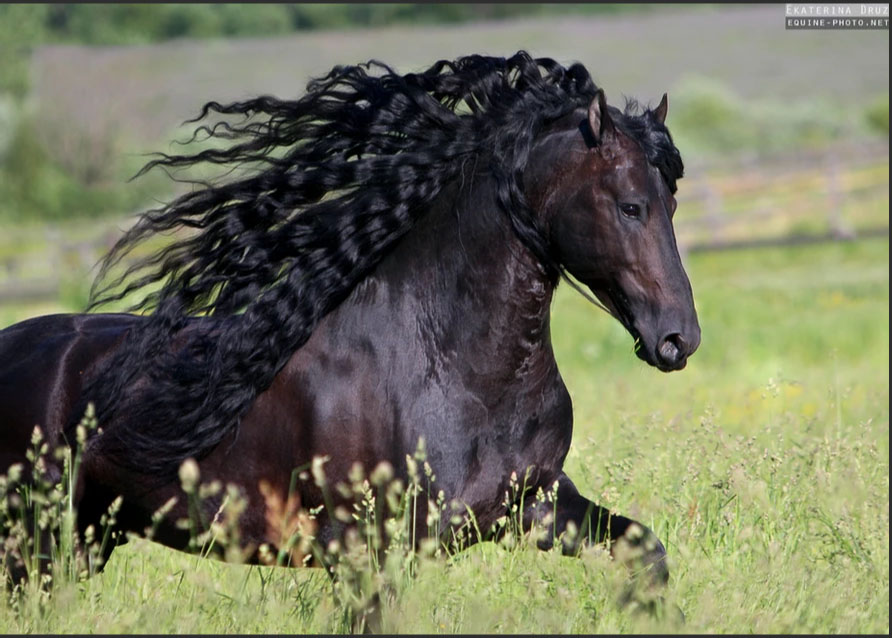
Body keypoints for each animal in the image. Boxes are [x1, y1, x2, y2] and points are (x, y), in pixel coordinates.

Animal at [0, 51, 696, 604]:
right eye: (630, 205)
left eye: (671, 200)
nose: (678, 339)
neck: (449, 370)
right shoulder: (372, 551)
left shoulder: (535, 505)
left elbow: (646, 552)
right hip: (33, 542)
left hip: (86, 538)